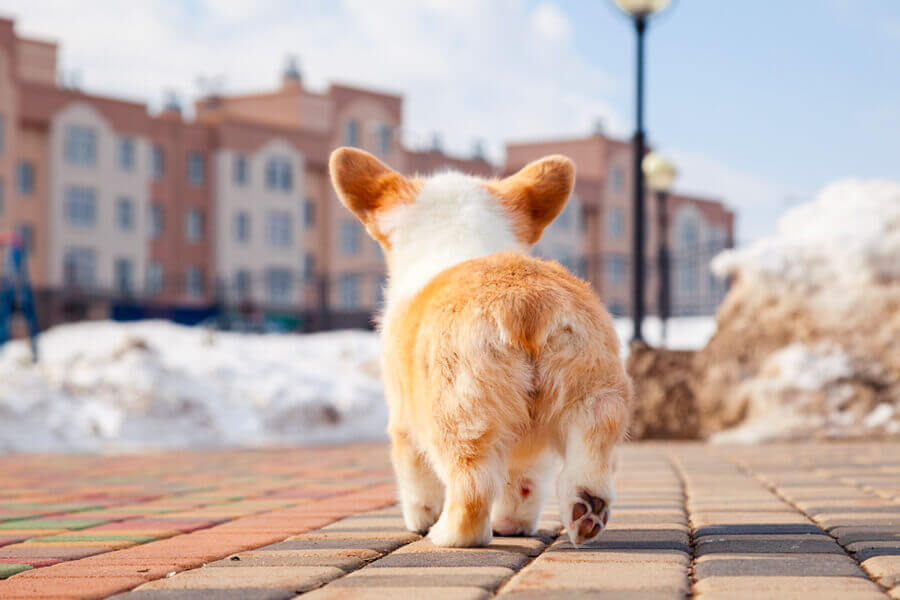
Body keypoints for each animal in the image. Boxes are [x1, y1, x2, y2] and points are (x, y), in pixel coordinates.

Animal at [330, 146, 632, 548]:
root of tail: (526, 303)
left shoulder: (403, 421)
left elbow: (416, 480)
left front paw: (421, 518)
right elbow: (523, 484)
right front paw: (514, 525)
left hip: (459, 415)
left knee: (471, 490)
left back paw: (444, 535)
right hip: (593, 389)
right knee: (589, 450)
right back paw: (586, 509)